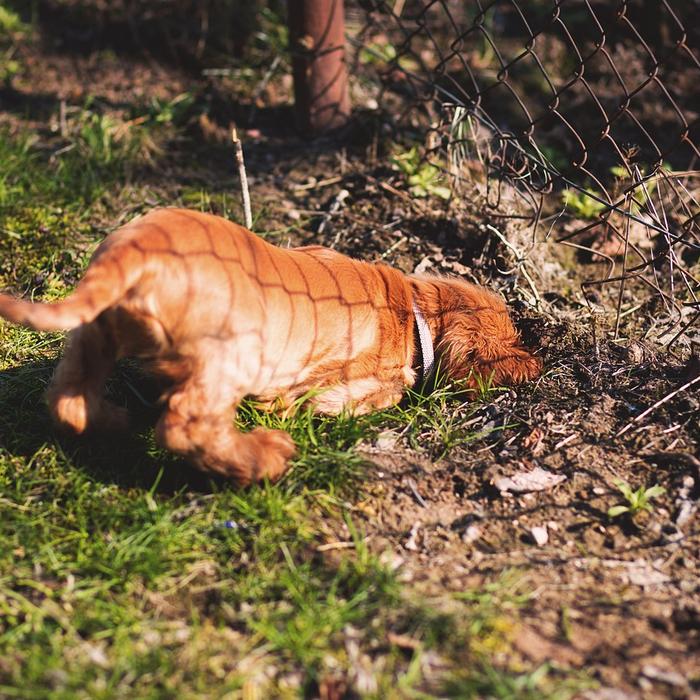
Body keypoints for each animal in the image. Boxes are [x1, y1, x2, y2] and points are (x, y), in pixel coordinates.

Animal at [0, 205, 540, 484]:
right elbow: (380, 390)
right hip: (230, 355)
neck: (412, 311)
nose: (536, 362)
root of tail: (135, 253)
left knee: (67, 398)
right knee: (185, 426)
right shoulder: (369, 377)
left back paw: (114, 421)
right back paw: (265, 457)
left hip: (94, 332)